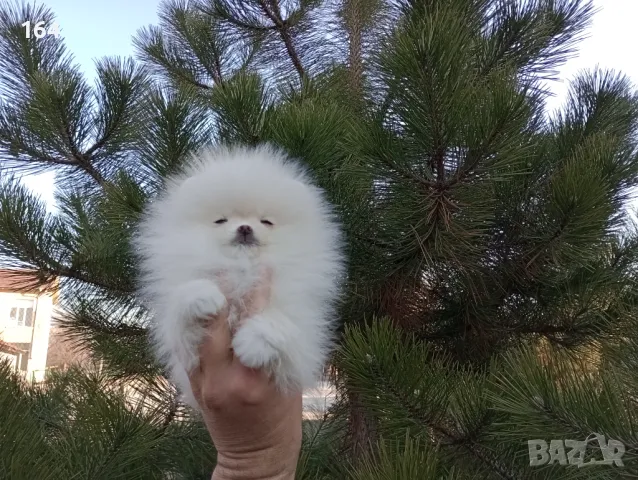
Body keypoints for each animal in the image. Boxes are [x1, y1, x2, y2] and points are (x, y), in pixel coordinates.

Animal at [134, 144, 344, 406]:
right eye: (220, 220)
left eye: (266, 221)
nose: (245, 228)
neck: (242, 269)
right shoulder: (186, 349)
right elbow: (183, 302)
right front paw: (202, 296)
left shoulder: (302, 326)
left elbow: (280, 321)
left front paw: (254, 344)